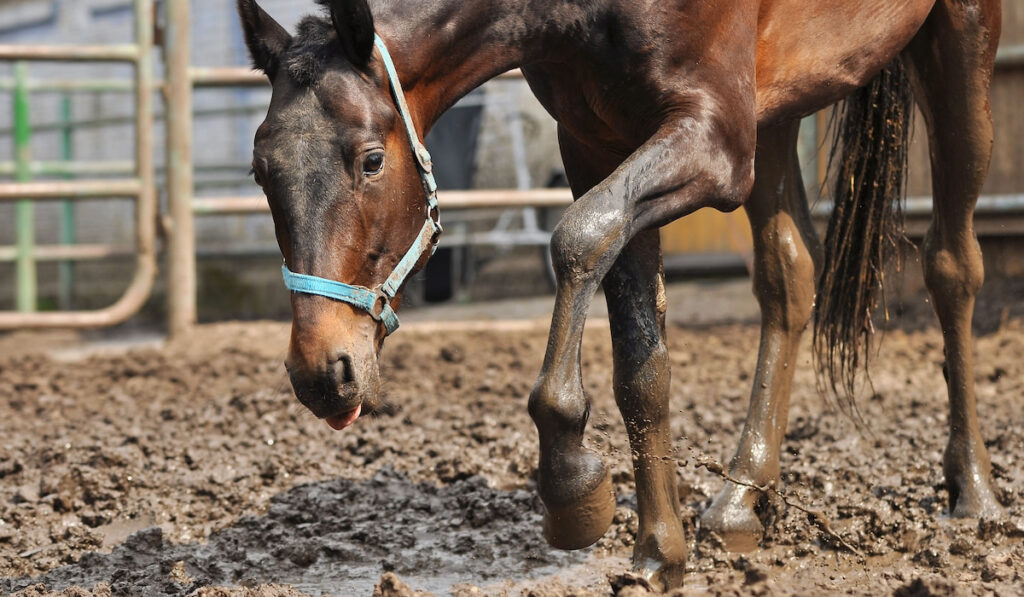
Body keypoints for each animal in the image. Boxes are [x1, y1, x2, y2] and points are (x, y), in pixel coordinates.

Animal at [237, 0, 999, 589]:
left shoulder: (713, 142)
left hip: (958, 42)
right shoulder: (600, 141)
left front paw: (572, 479)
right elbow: (638, 355)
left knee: (952, 265)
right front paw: (660, 550)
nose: (322, 371)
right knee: (790, 277)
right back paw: (740, 500)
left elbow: (578, 237)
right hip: (779, 101)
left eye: (370, 159)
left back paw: (975, 491)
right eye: (260, 170)